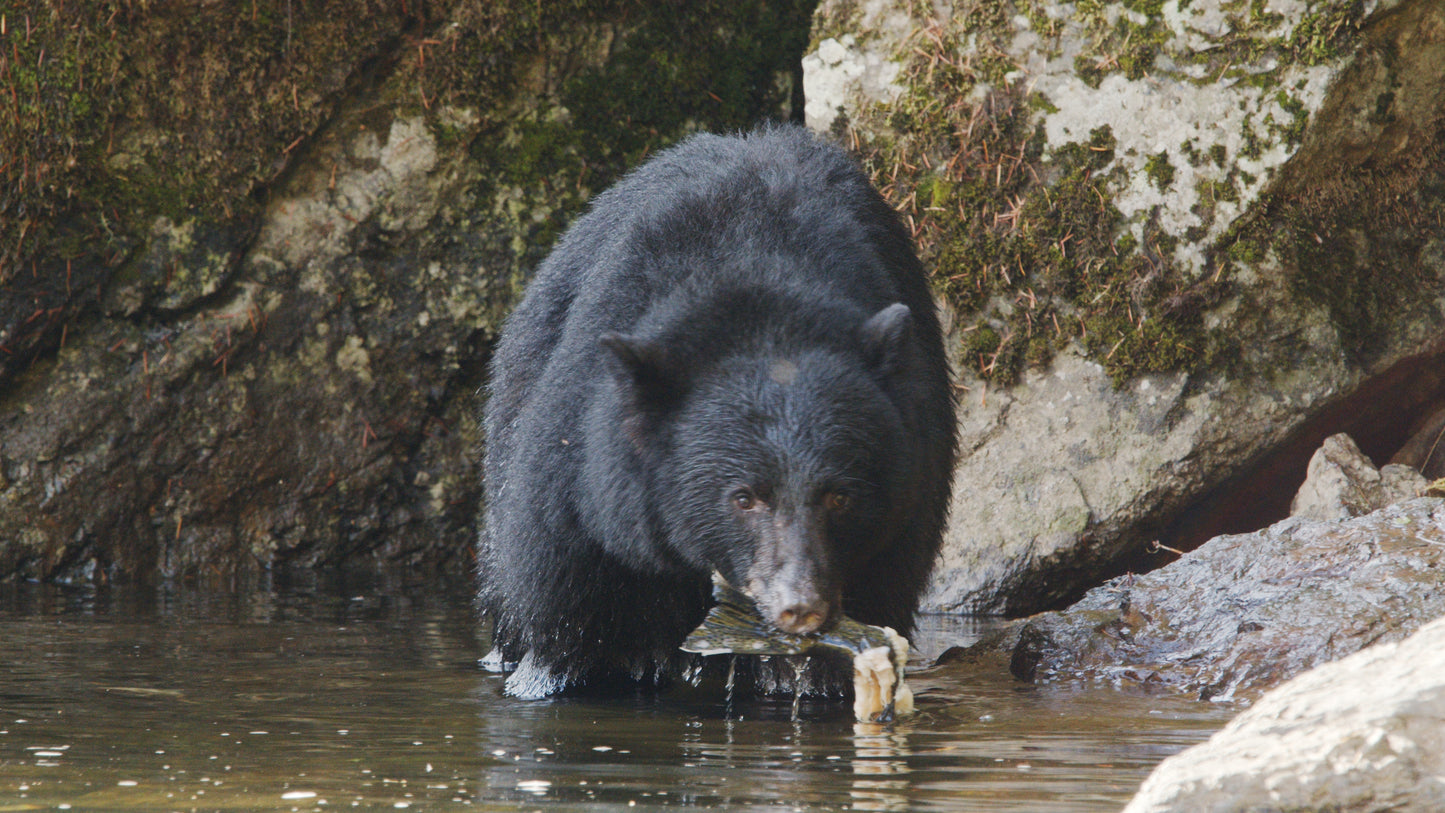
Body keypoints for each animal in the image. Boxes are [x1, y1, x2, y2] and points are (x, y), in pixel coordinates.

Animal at [479, 125, 959, 698]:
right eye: (744, 497)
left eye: (839, 496)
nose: (800, 605)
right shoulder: (580, 490)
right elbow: (562, 619)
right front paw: (549, 670)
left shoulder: (902, 519)